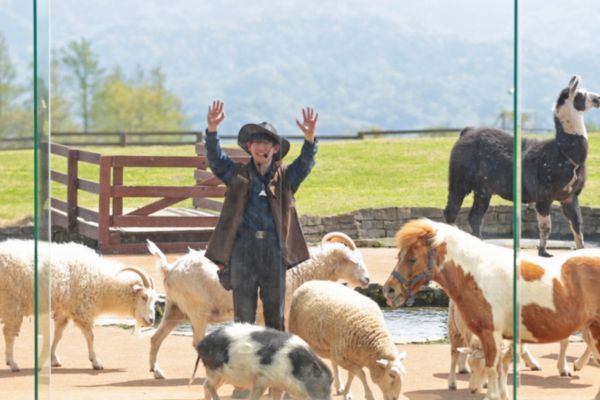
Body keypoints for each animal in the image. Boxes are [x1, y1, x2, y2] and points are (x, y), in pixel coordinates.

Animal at [0, 239, 159, 370]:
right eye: (144, 296)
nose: (151, 320)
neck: (101, 281)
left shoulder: (64, 310)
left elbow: (58, 335)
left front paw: (54, 359)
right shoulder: (82, 309)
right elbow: (90, 336)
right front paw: (95, 362)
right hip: (12, 303)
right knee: (9, 333)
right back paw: (12, 363)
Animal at [146, 231, 370, 378]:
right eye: (354, 262)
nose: (367, 279)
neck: (299, 270)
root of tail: (169, 269)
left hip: (175, 310)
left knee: (156, 338)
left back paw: (157, 372)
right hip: (197, 310)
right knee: (196, 342)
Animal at [190, 324, 332, 398]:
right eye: (324, 389)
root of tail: (201, 343)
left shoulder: (278, 384)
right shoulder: (262, 378)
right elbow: (255, 395)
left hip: (221, 375)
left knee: (205, 385)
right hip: (215, 369)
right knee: (209, 385)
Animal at [384, 219, 600, 400]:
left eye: (412, 258)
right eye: (399, 255)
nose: (389, 289)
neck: (479, 274)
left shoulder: (491, 334)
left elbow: (492, 370)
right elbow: (500, 370)